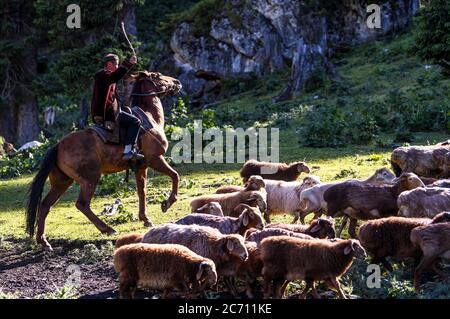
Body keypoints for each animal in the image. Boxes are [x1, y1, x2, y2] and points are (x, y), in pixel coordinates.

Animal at [25, 71, 181, 251]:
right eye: (158, 76)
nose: (177, 82)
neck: (150, 118)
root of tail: (58, 145)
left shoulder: (141, 167)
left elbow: (142, 191)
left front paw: (145, 218)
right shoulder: (155, 160)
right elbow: (175, 176)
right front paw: (167, 203)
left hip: (61, 182)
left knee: (45, 205)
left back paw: (43, 241)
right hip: (90, 179)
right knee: (82, 204)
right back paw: (107, 229)